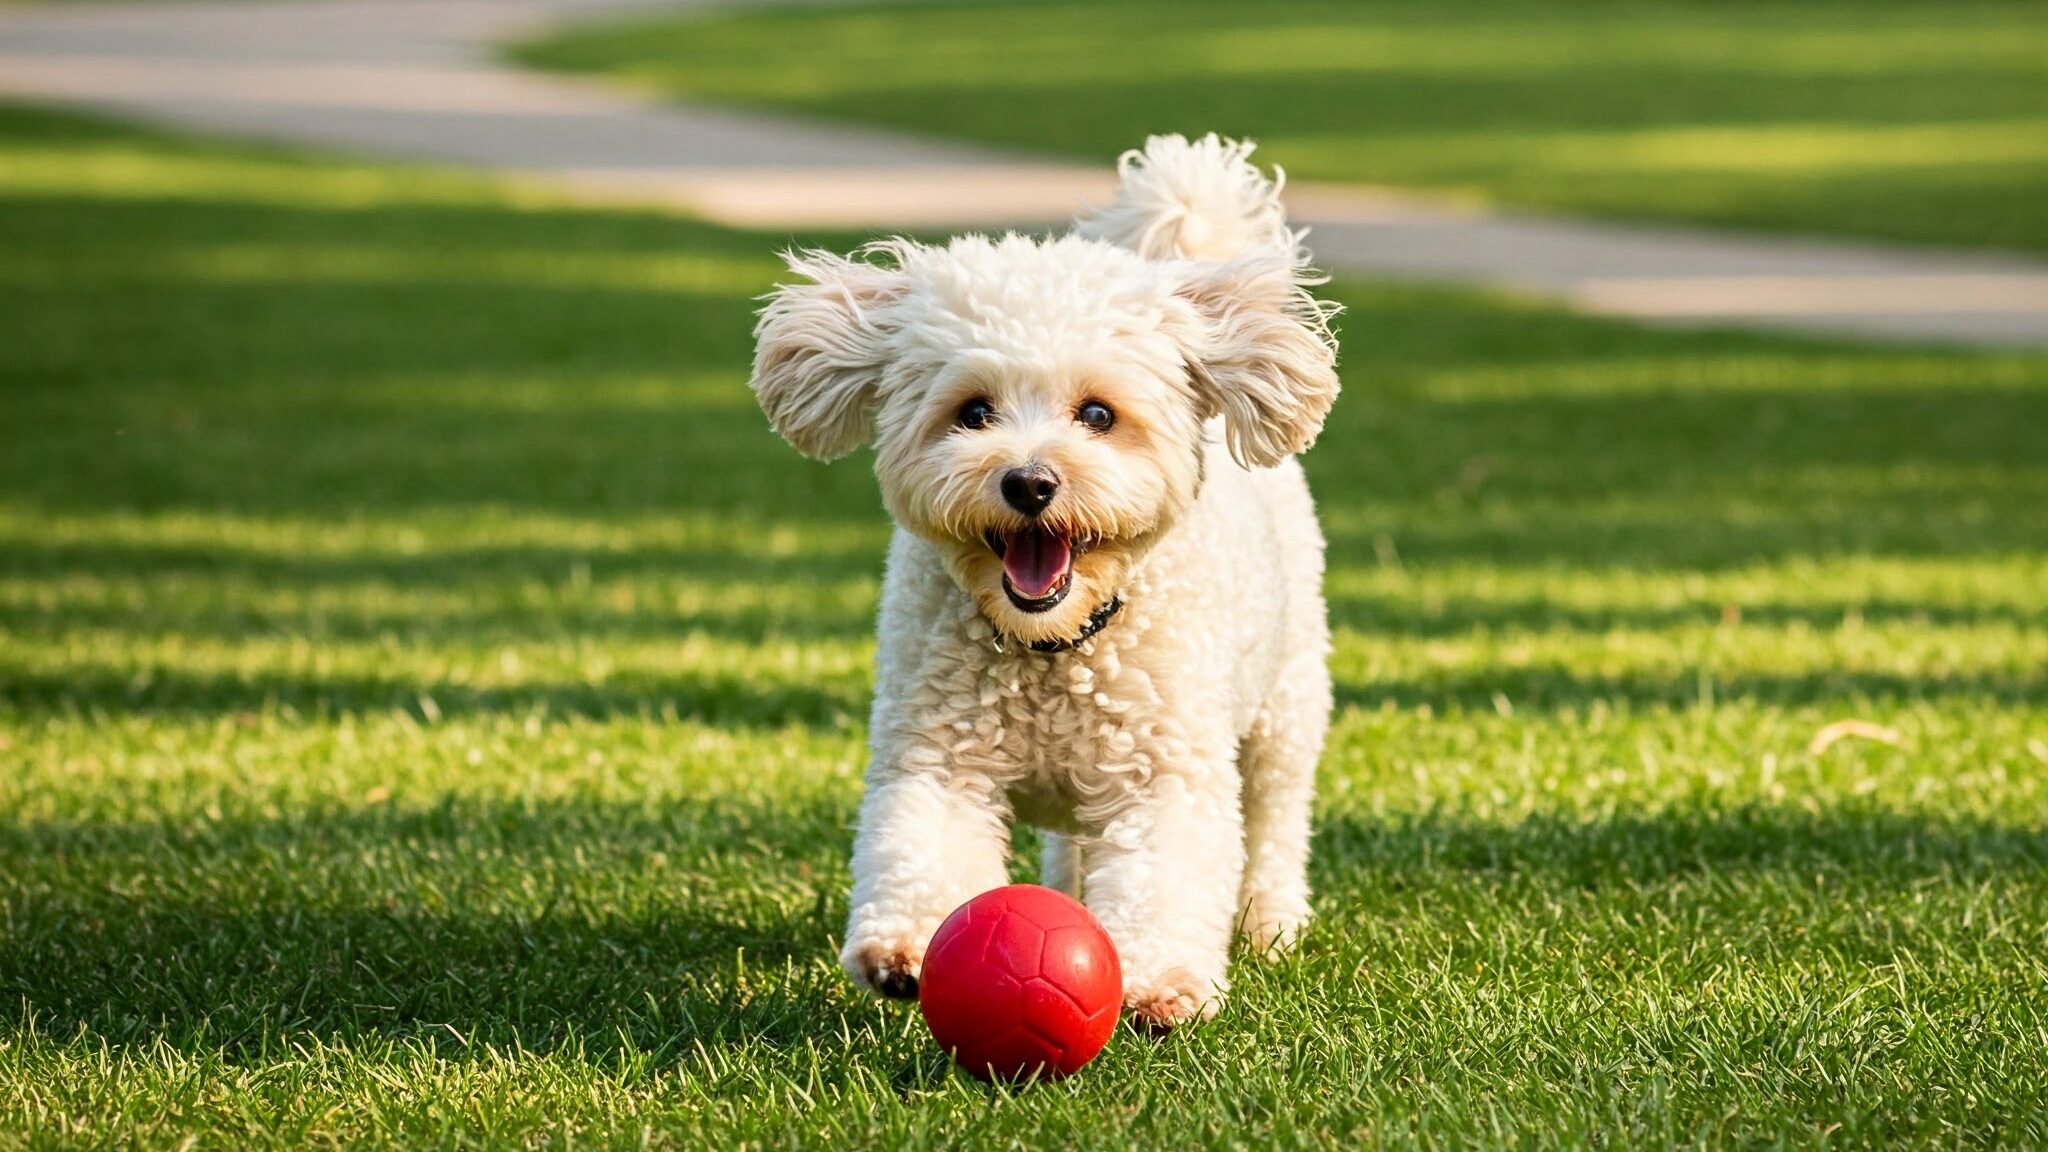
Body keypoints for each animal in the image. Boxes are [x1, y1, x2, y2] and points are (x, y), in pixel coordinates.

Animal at [753, 132, 1343, 1020]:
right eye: (973, 412)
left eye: (1097, 414)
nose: (1029, 483)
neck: (1052, 647)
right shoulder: (936, 757)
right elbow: (921, 845)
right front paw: (903, 948)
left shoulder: (1163, 774)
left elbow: (1170, 873)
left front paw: (1162, 982)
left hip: (1287, 704)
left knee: (1275, 819)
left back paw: (1271, 922)